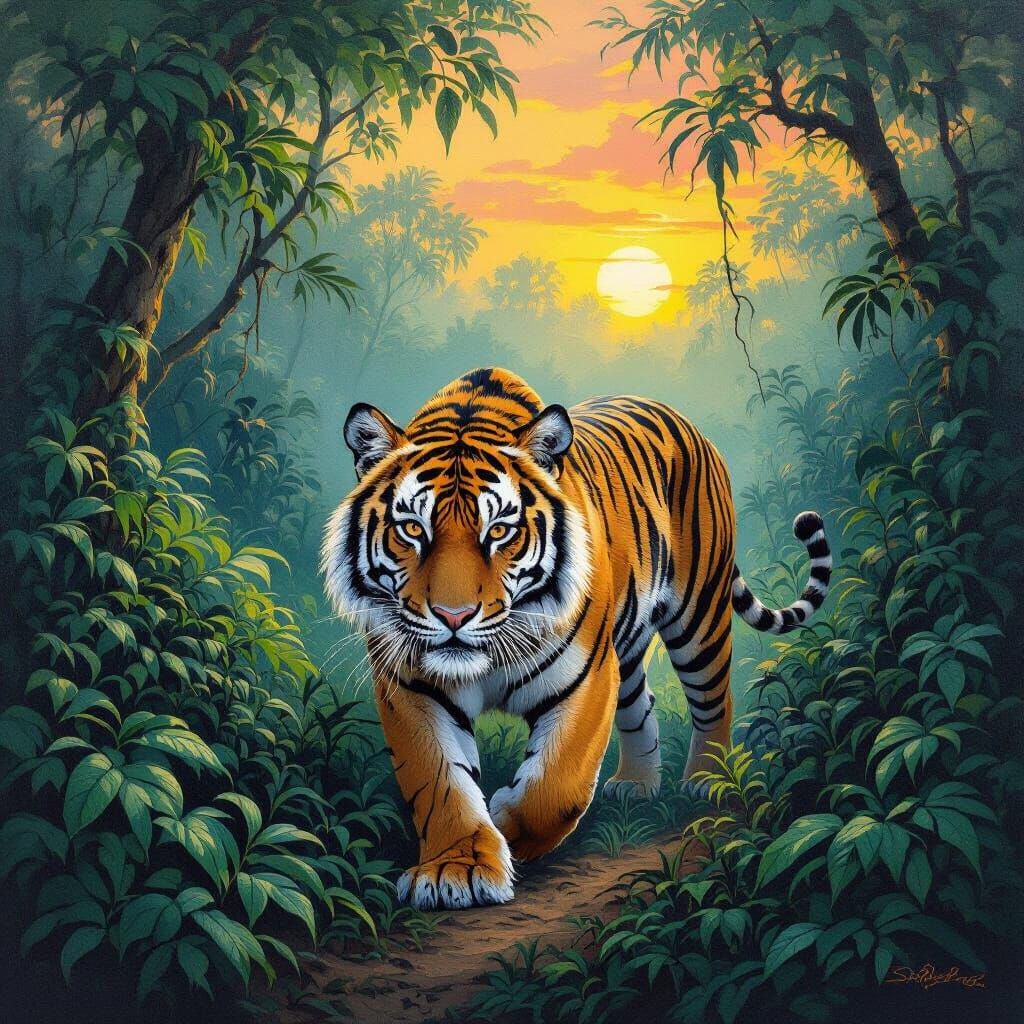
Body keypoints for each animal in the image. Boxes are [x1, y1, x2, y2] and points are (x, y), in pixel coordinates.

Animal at [322, 367, 831, 910]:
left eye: (499, 531)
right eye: (412, 529)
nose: (452, 616)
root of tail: (684, 420)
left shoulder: (585, 677)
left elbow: (556, 788)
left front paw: (504, 821)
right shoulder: (412, 687)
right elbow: (440, 782)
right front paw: (456, 870)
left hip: (699, 617)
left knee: (715, 699)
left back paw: (706, 780)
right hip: (626, 648)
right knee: (641, 704)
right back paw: (636, 785)